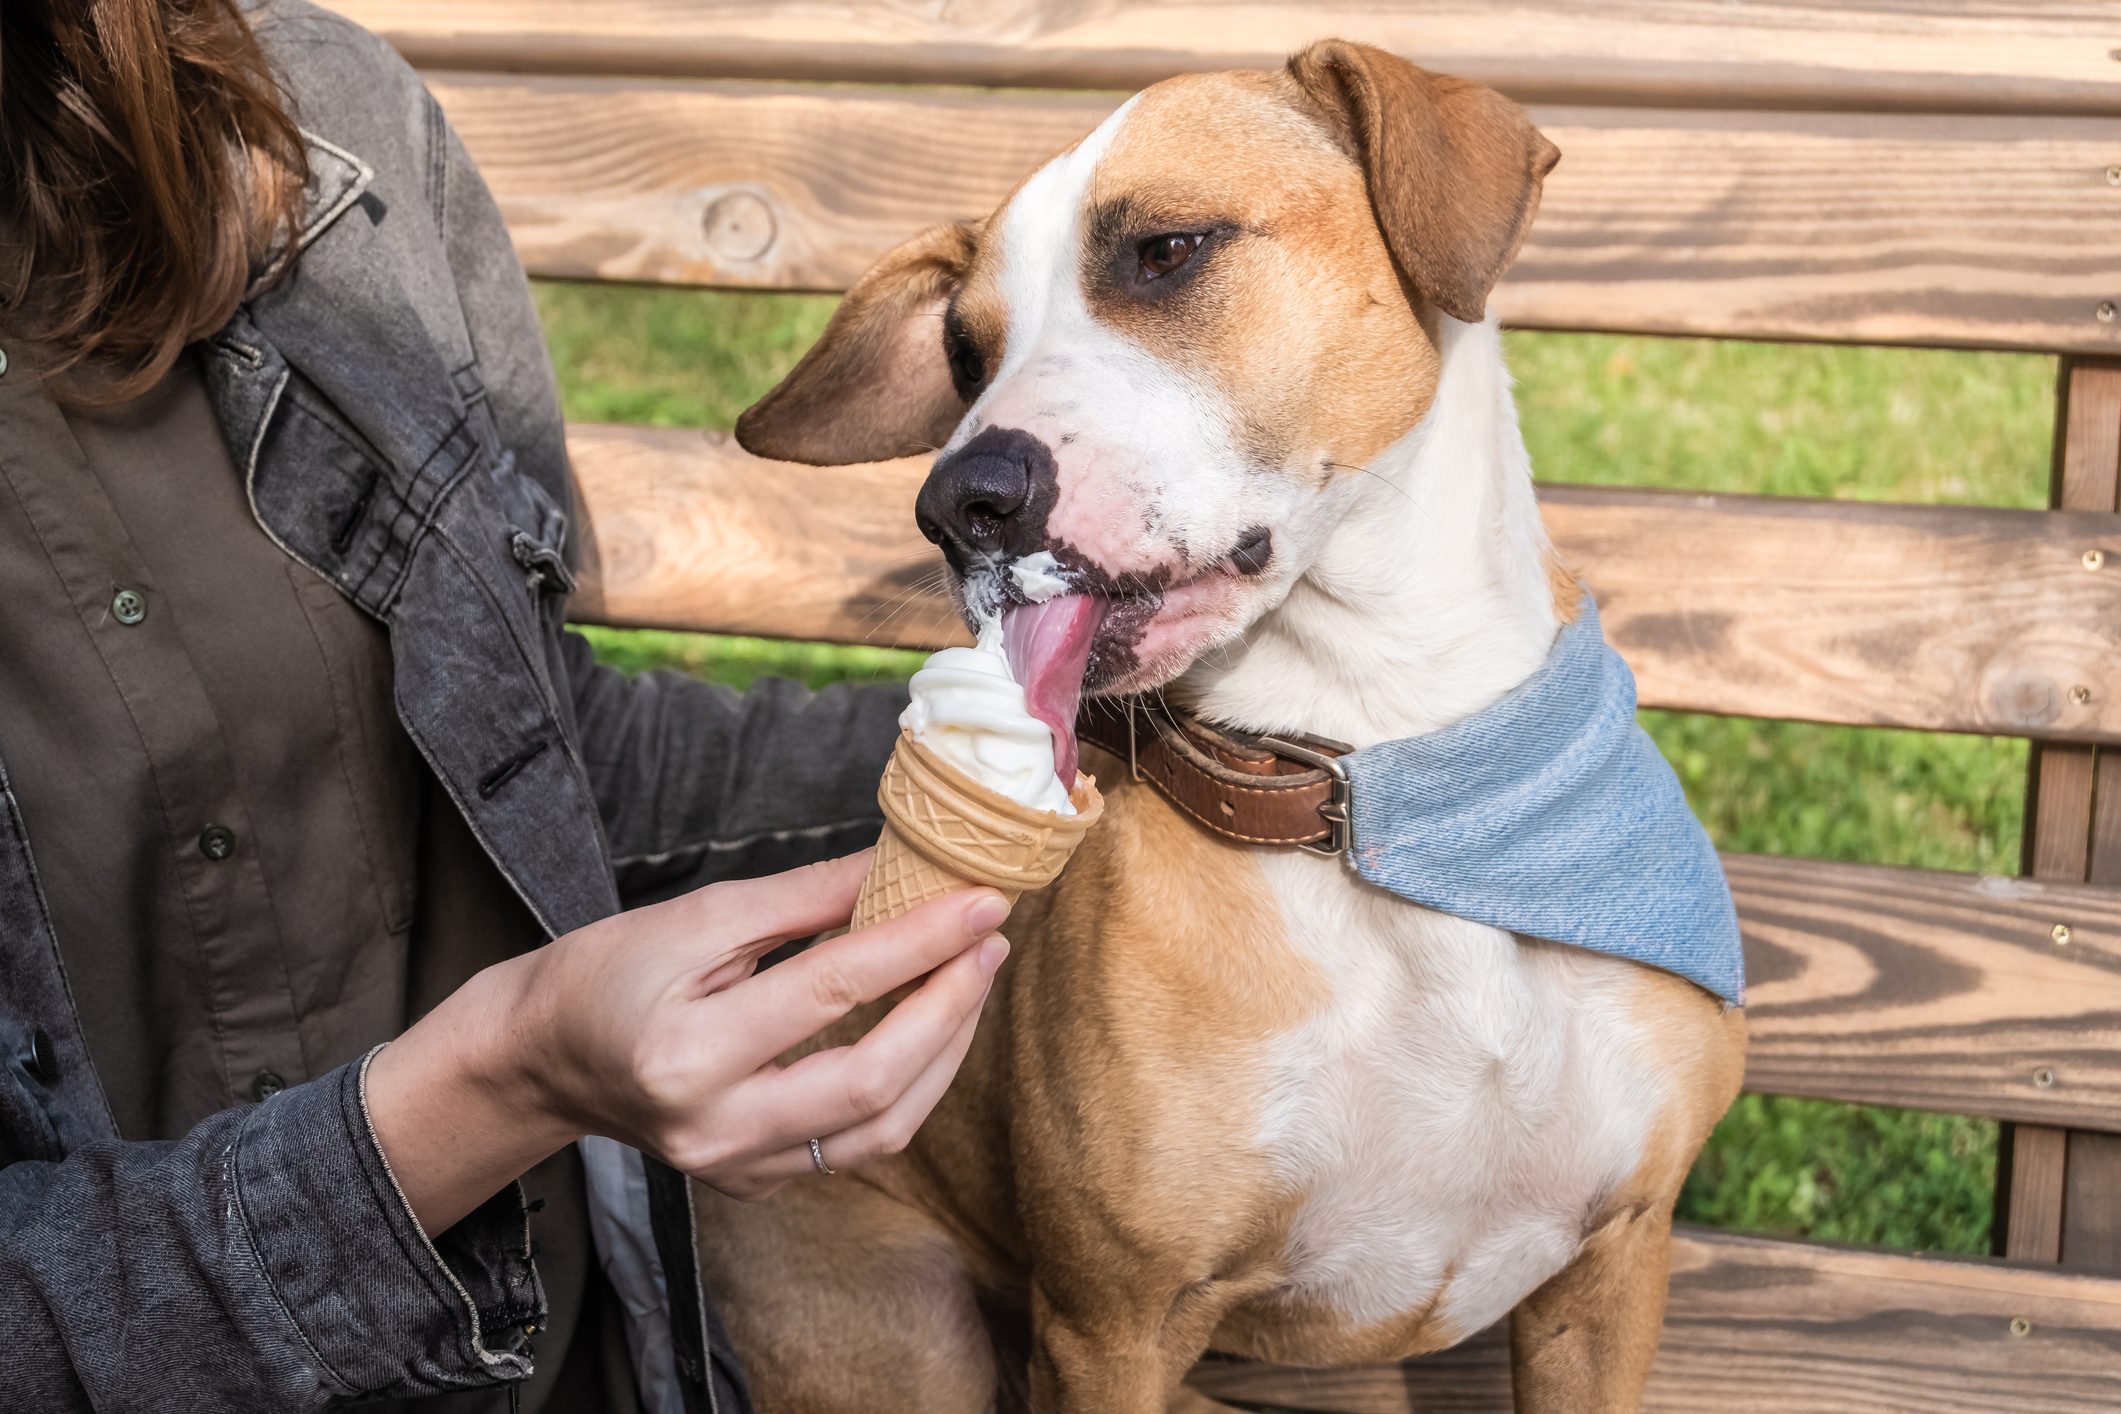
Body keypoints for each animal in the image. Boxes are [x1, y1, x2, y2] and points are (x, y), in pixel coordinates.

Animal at [704, 38, 1747, 1407]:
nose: (958, 502)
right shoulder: (1111, 1325)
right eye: (967, 354)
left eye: (1166, 250)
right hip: (901, 1333)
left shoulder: (1613, 1266)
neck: (1377, 784)